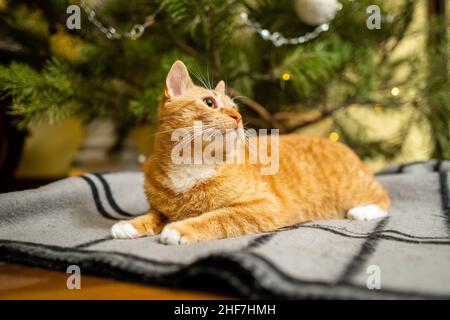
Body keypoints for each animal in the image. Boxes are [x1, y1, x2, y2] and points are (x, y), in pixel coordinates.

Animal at [110, 60, 388, 245]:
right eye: (209, 102)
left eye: (235, 107)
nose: (238, 116)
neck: (192, 165)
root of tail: (341, 145)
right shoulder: (161, 208)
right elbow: (153, 214)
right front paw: (131, 224)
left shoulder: (262, 206)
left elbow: (216, 217)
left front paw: (180, 229)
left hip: (354, 189)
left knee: (384, 198)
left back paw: (363, 211)